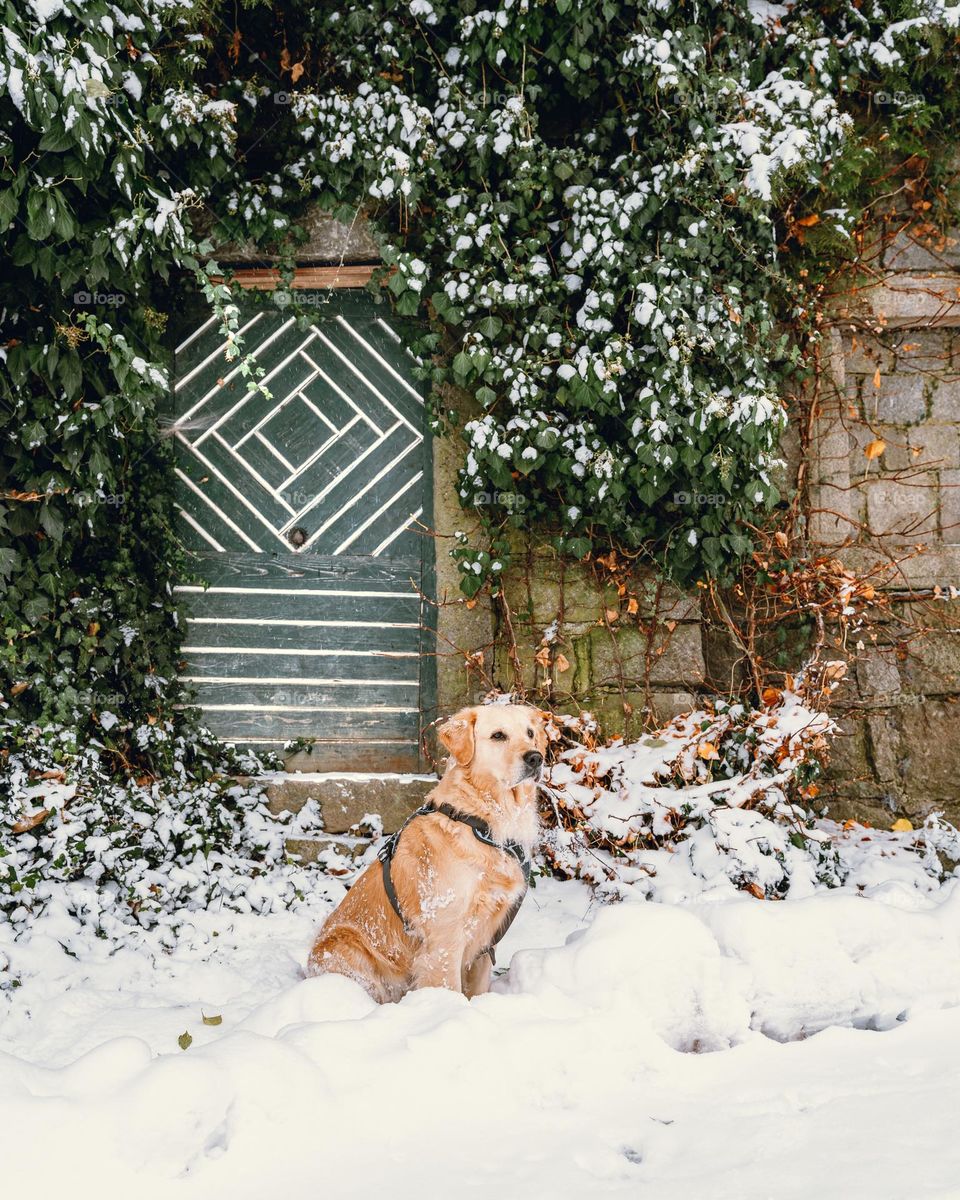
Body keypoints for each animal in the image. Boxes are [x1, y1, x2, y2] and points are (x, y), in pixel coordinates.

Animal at [307, 700, 547, 1003]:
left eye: (530, 733)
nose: (536, 758)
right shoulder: (445, 937)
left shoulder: (485, 941)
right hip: (351, 952)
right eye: (498, 736)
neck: (480, 822)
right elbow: (449, 987)